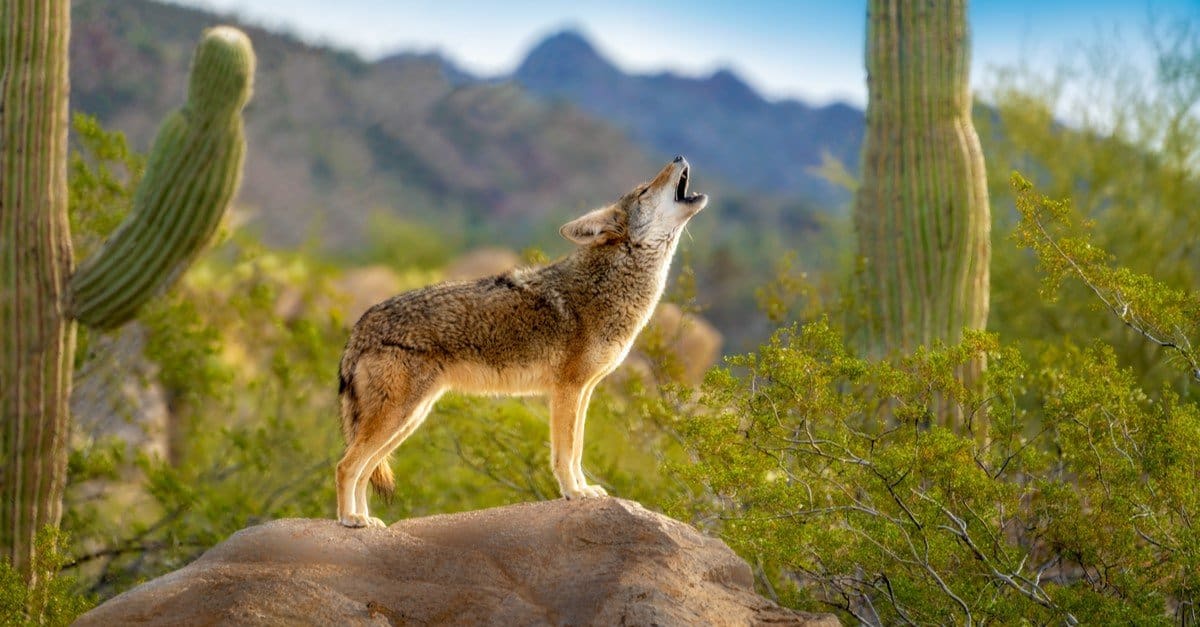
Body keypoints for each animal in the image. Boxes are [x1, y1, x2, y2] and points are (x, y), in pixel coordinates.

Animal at [335, 156, 707, 528]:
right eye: (644, 190)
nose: (678, 157)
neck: (607, 287)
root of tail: (360, 328)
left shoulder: (584, 391)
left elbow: (577, 449)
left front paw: (585, 489)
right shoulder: (567, 390)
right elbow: (564, 454)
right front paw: (574, 493)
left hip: (410, 419)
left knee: (364, 470)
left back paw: (366, 520)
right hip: (398, 417)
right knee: (345, 466)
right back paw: (349, 519)